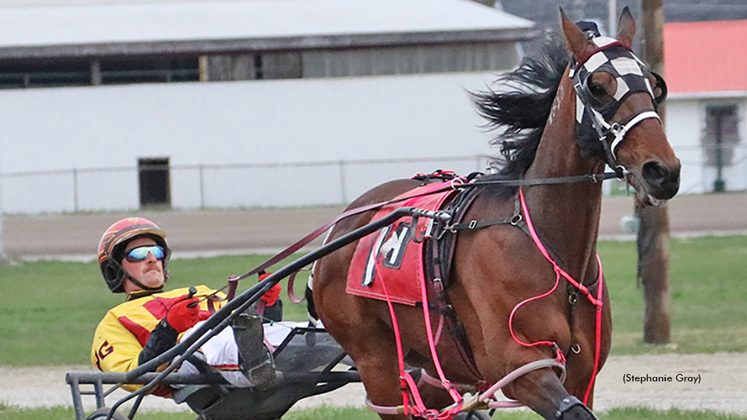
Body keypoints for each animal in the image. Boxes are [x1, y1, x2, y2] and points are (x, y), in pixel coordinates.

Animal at [312, 7, 680, 420]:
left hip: (434, 368)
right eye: (598, 87)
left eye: (654, 84)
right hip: (378, 364)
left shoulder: (582, 375)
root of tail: (344, 225)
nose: (662, 171)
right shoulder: (522, 367)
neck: (544, 243)